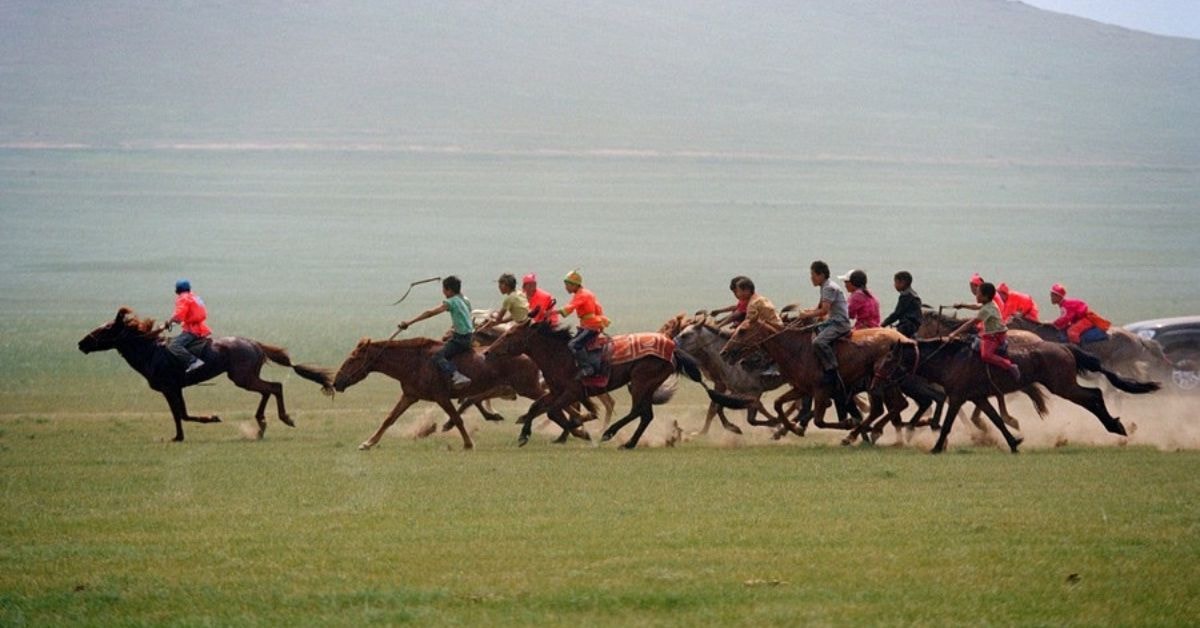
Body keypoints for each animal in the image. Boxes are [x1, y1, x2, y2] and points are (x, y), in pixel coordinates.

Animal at [78, 307, 333, 441]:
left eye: (105, 328)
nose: (81, 343)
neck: (151, 352)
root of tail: (255, 344)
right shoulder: (174, 389)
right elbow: (180, 414)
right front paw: (179, 436)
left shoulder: (170, 388)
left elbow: (181, 414)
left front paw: (211, 419)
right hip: (246, 377)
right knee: (270, 389)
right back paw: (261, 425)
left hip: (242, 378)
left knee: (274, 387)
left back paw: (282, 419)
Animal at [331, 336, 568, 449]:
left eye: (353, 359)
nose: (336, 382)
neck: (415, 362)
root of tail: (529, 355)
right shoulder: (410, 396)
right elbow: (389, 419)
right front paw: (368, 443)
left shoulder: (441, 397)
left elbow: (457, 418)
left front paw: (468, 444)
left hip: (529, 388)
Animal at [482, 321, 691, 449]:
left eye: (509, 334)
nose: (487, 352)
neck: (560, 356)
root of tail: (672, 348)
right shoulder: (556, 391)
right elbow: (536, 407)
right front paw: (524, 434)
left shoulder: (572, 392)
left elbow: (554, 412)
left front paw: (581, 430)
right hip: (645, 385)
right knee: (646, 415)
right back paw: (628, 443)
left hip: (641, 382)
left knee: (639, 411)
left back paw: (610, 433)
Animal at [883, 336, 1161, 453]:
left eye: (888, 360)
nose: (879, 377)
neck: (951, 359)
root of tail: (1065, 348)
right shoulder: (977, 398)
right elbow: (996, 419)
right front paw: (1014, 442)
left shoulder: (958, 397)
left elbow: (948, 423)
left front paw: (937, 447)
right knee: (1094, 395)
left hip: (1062, 385)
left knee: (1093, 395)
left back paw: (1116, 426)